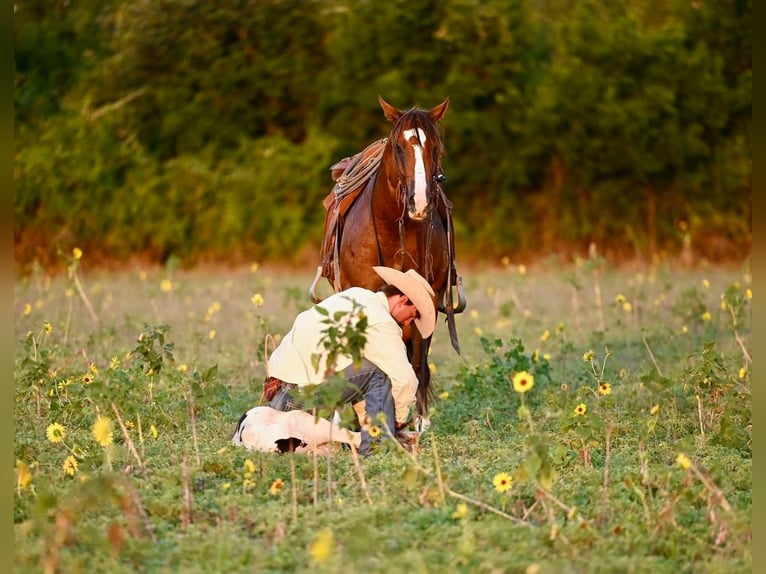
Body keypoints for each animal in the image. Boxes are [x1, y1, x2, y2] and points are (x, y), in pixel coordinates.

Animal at [310, 97, 468, 426]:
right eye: (398, 146)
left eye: (436, 147)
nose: (419, 203)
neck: (395, 232)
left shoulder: (427, 296)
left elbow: (417, 359)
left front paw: (420, 421)